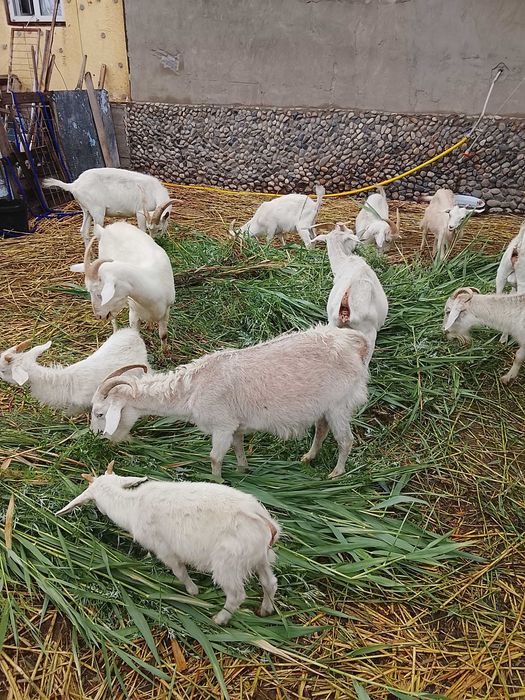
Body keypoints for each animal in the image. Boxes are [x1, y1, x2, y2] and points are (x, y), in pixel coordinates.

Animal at [42, 168, 180, 246]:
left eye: (159, 229)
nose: (156, 241)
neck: (153, 190)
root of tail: (73, 185)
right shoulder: (140, 212)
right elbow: (142, 230)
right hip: (97, 211)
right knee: (96, 232)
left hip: (86, 210)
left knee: (83, 231)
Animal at [56, 462, 280, 625]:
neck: (131, 505)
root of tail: (265, 522)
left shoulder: (165, 550)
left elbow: (180, 572)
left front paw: (193, 591)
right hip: (260, 557)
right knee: (270, 583)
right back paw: (265, 610)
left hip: (228, 563)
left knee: (236, 595)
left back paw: (219, 619)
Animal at [70, 222, 175, 352]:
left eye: (99, 294)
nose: (98, 316)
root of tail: (106, 229)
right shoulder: (133, 312)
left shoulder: (166, 310)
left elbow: (163, 334)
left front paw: (165, 352)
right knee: (113, 319)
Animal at [90, 325, 369, 479]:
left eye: (100, 413)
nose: (99, 438)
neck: (193, 388)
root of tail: (353, 344)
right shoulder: (235, 426)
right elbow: (238, 449)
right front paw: (242, 471)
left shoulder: (222, 425)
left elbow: (215, 458)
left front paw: (219, 482)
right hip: (325, 406)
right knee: (321, 429)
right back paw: (308, 457)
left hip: (339, 404)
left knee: (346, 440)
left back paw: (335, 474)